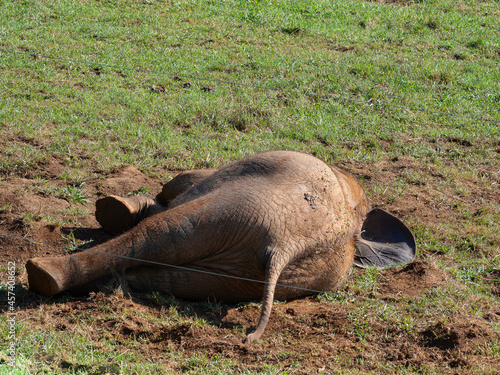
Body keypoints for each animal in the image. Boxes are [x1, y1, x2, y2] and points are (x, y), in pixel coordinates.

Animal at [26, 151, 414, 344]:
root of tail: (287, 246)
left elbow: (178, 185)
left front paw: (114, 208)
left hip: (241, 208)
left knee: (161, 231)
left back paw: (42, 273)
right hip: (243, 274)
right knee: (164, 274)